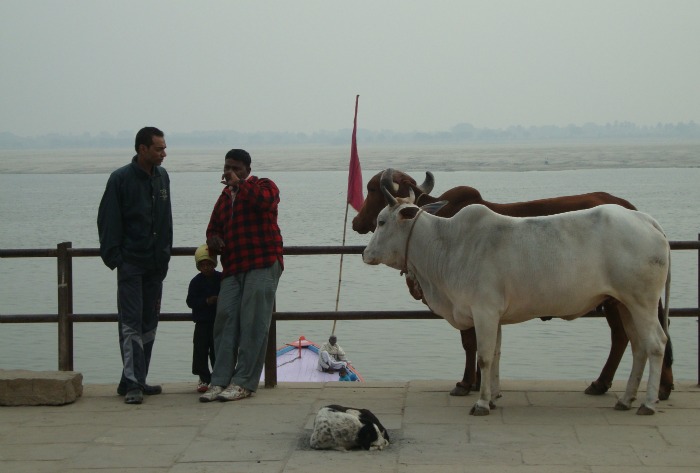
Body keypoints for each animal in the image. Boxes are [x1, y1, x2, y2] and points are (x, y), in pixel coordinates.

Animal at [352, 169, 676, 398]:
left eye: (380, 218)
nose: (365, 250)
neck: (446, 238)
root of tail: (646, 219)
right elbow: (491, 352)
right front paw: (487, 390)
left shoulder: (479, 308)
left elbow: (475, 347)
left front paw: (469, 386)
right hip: (620, 302)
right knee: (633, 340)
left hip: (635, 301)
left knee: (649, 339)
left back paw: (647, 394)